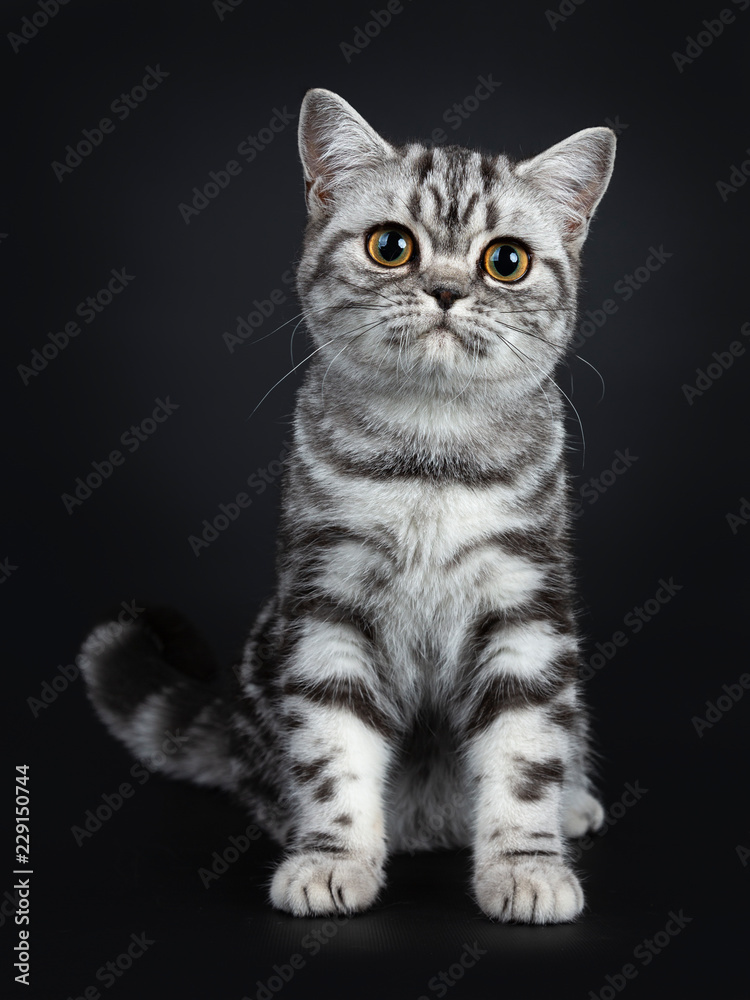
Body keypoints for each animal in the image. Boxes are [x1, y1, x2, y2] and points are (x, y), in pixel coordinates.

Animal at [81, 90, 616, 924]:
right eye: (391, 246)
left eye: (506, 261)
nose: (446, 289)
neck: (431, 455)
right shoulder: (327, 601)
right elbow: (334, 755)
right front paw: (332, 861)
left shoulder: (525, 604)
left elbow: (527, 751)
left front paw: (527, 866)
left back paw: (573, 806)